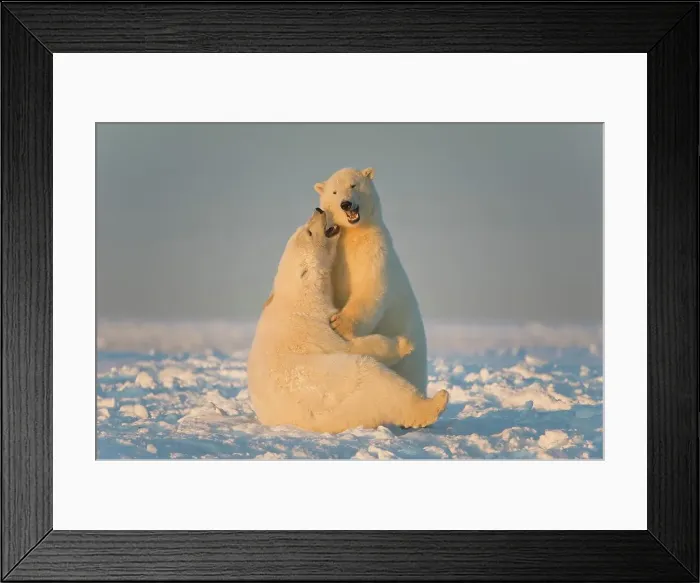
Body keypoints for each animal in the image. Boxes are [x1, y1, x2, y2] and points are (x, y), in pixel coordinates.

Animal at [247, 208, 448, 434]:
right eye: (309, 232)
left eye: (305, 227)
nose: (318, 210)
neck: (299, 296)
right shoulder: (314, 325)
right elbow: (352, 346)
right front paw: (403, 344)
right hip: (347, 389)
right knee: (381, 384)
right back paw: (435, 402)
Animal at [314, 167, 428, 395]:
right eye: (334, 192)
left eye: (353, 185)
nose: (346, 204)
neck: (353, 234)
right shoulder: (337, 257)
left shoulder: (374, 251)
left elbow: (370, 288)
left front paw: (339, 324)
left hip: (413, 354)